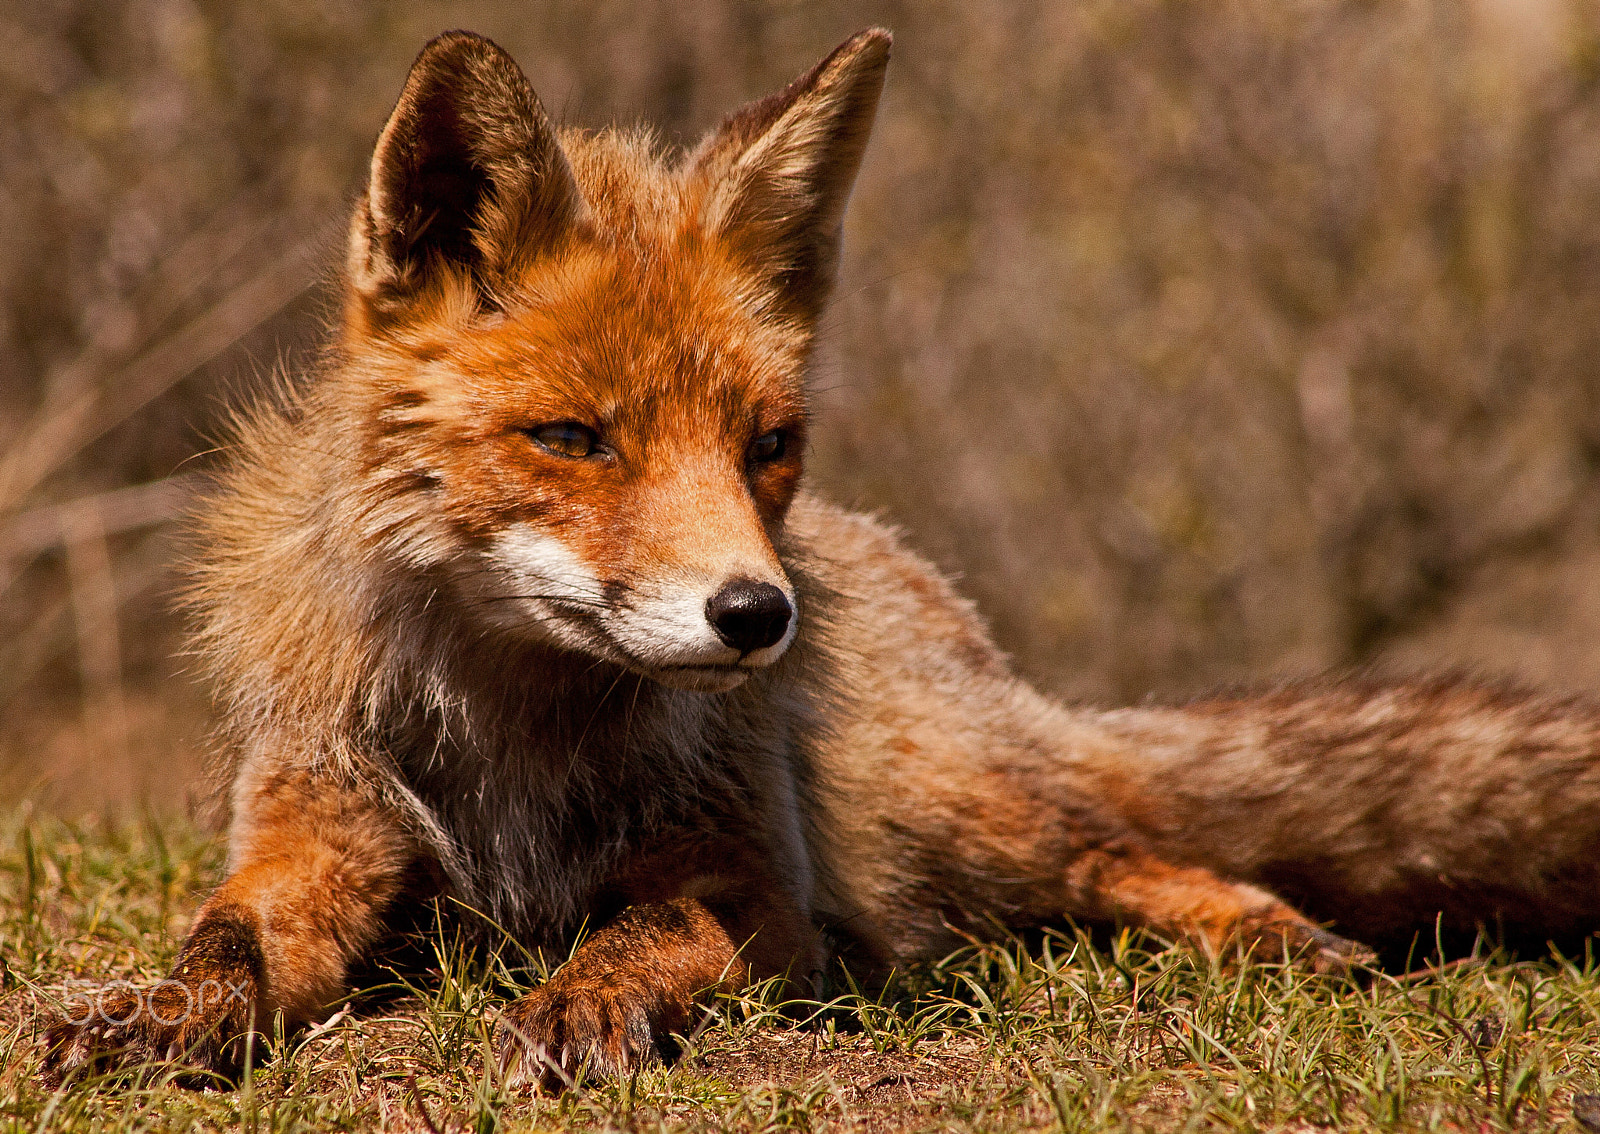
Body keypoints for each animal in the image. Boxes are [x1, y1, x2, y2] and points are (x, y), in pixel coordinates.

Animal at [40, 27, 1600, 1091]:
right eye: (573, 438)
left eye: (767, 443)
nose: (757, 615)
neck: (515, 734)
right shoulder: (311, 829)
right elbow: (226, 942)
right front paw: (163, 1015)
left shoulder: (760, 881)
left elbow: (651, 932)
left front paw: (584, 1003)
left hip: (957, 809)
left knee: (1130, 845)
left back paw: (1272, 934)